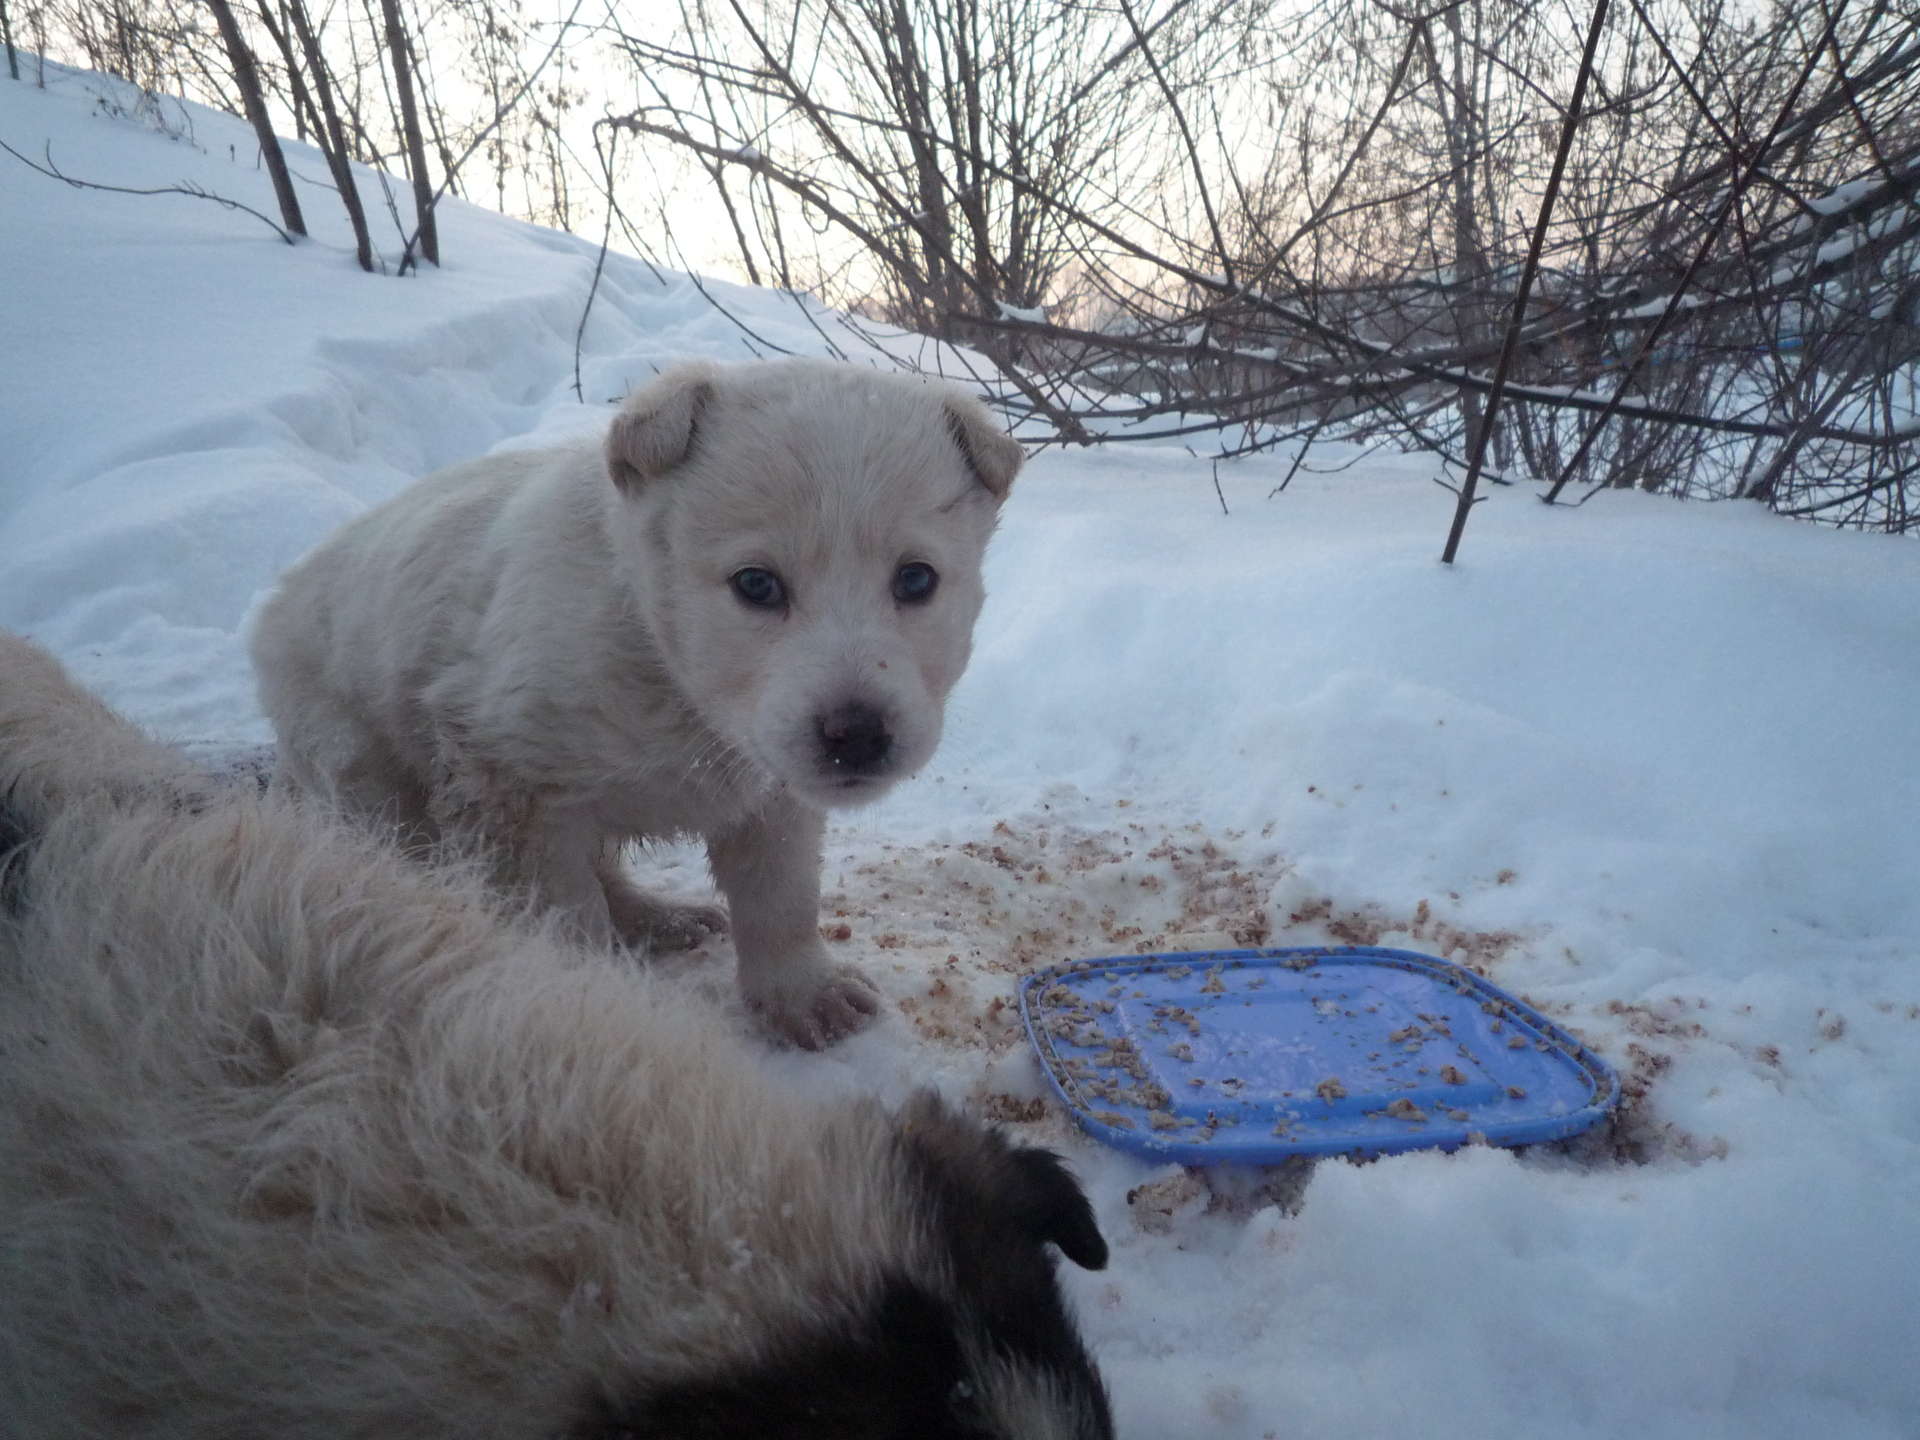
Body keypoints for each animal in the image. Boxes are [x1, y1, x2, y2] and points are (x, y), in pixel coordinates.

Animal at [257, 355, 1029, 1044]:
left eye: (916, 580)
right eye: (756, 585)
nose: (858, 736)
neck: (664, 668)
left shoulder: (770, 790)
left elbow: (781, 897)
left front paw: (803, 997)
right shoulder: (509, 782)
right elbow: (563, 920)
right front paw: (585, 1005)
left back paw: (659, 918)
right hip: (364, 771)